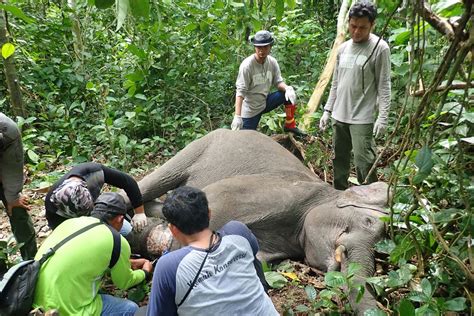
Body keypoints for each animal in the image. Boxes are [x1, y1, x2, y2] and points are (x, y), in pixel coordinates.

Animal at [125, 129, 388, 314]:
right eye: (367, 221)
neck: (326, 191)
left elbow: (256, 259)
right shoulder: (278, 191)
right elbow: (217, 200)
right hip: (199, 147)